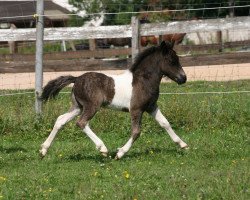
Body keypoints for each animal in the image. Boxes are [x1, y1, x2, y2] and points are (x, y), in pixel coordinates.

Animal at [39, 41, 188, 160]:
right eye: (171, 60)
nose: (183, 78)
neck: (143, 81)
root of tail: (76, 79)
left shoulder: (151, 106)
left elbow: (165, 123)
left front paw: (183, 145)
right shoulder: (136, 109)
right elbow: (136, 132)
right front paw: (120, 153)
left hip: (78, 107)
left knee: (61, 120)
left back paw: (43, 150)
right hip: (92, 106)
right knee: (81, 123)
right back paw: (103, 149)